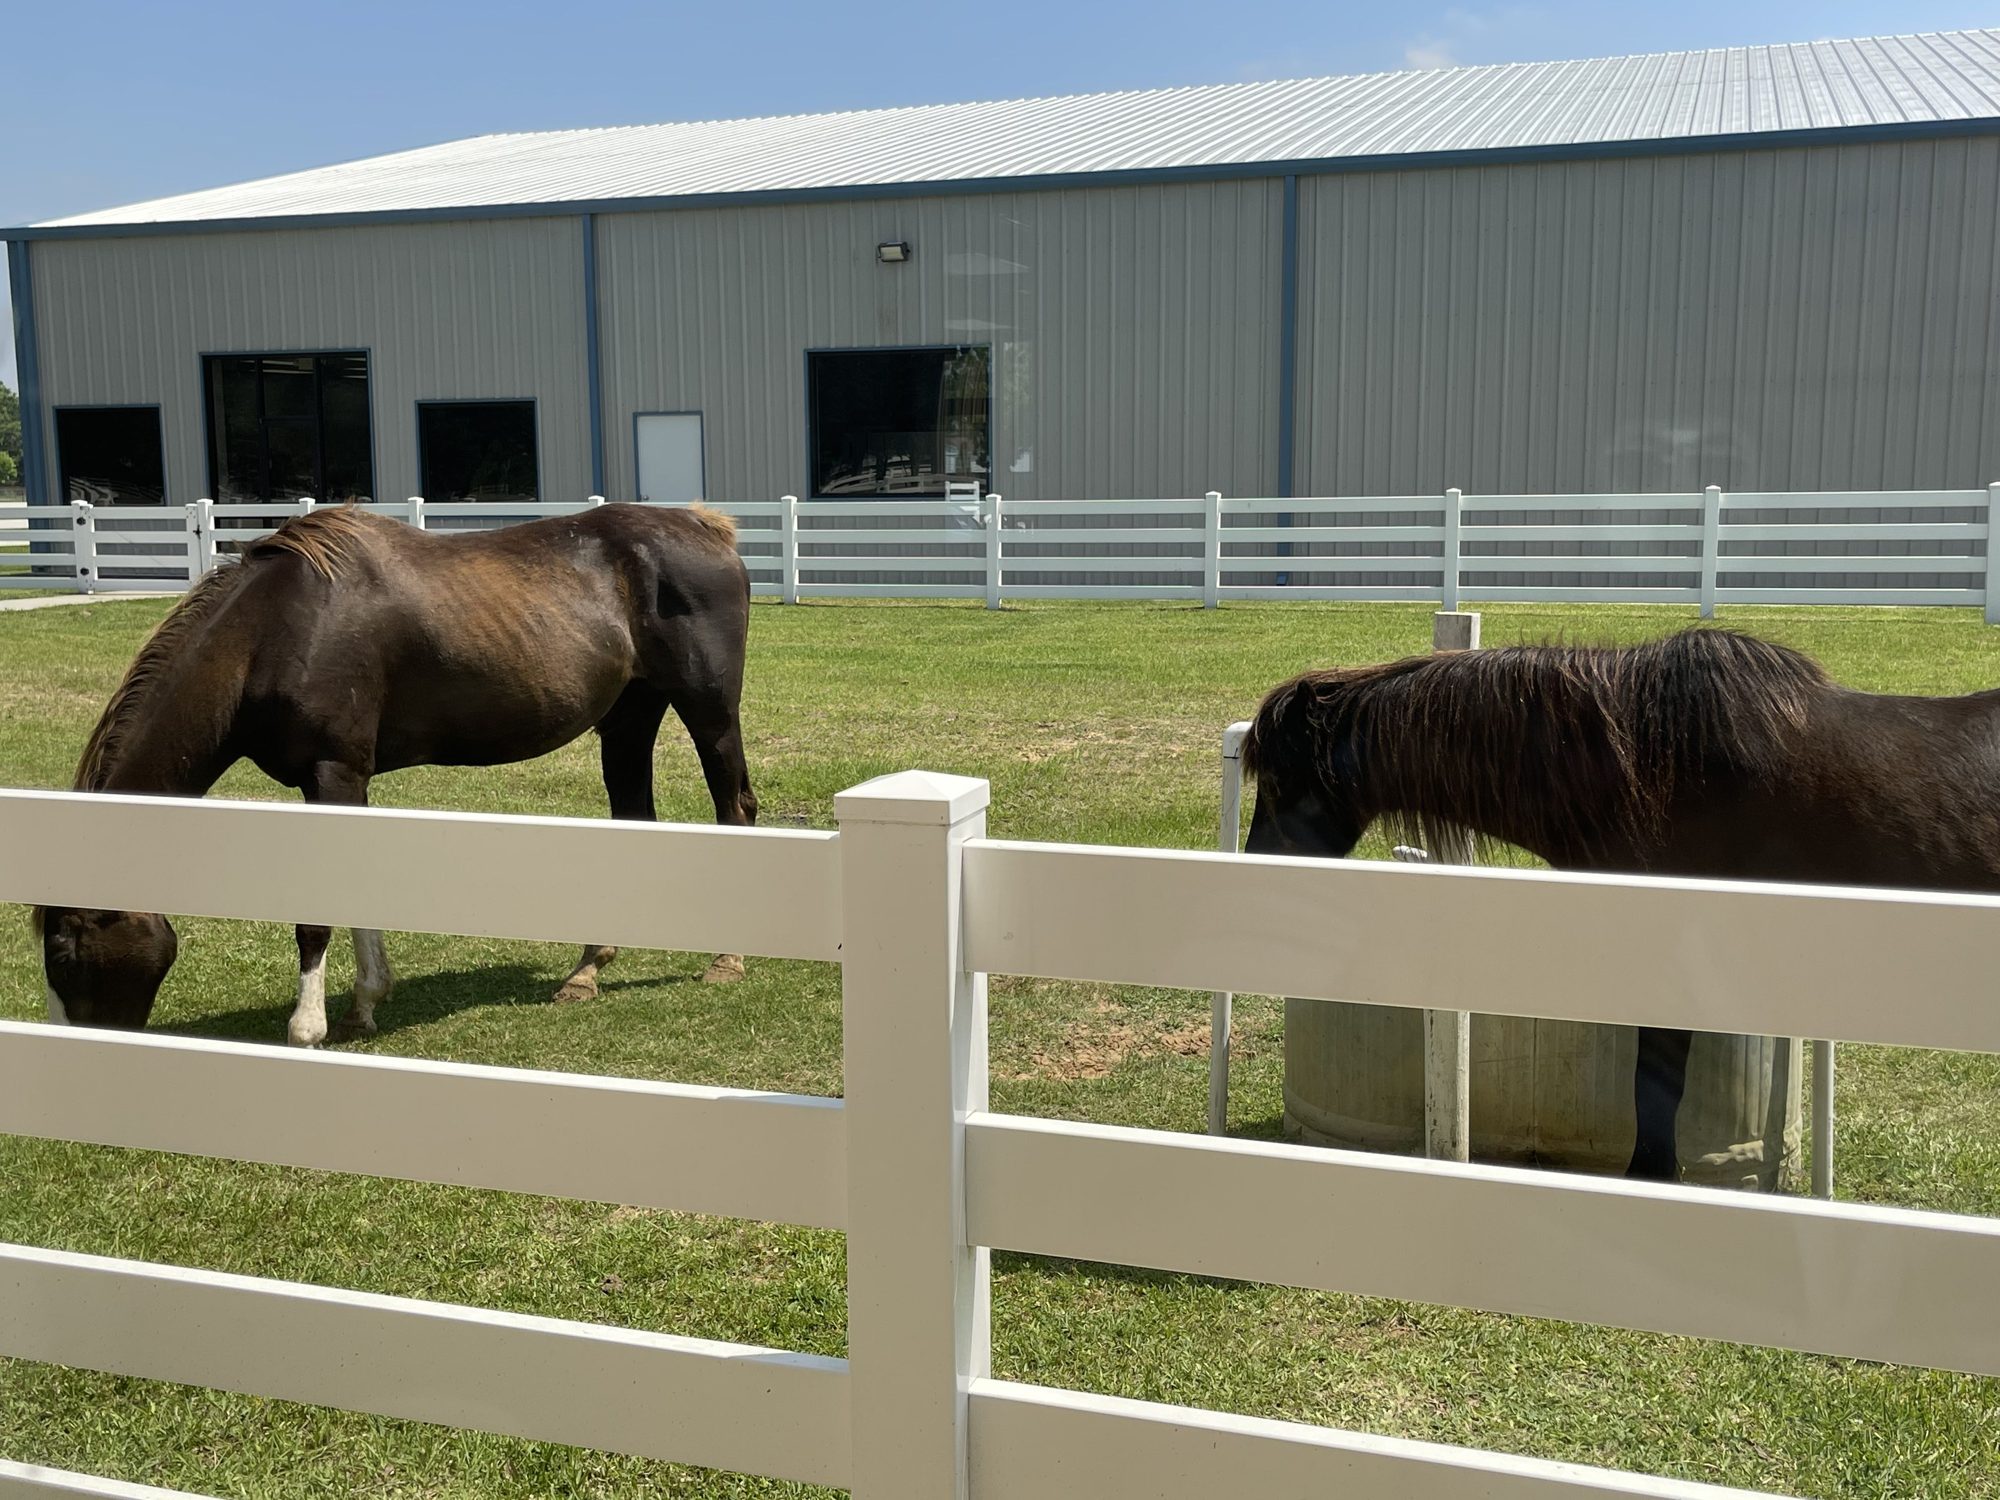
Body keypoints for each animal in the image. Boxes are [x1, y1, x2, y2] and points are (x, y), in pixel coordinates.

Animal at [33, 501, 759, 1047]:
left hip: (709, 713)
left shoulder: (333, 772)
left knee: (736, 809)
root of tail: (707, 526)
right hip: (630, 717)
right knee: (634, 819)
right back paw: (587, 971)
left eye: (65, 951)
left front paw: (308, 1026)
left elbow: (320, 911)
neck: (273, 629)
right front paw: (365, 1004)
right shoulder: (342, 781)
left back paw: (727, 960)